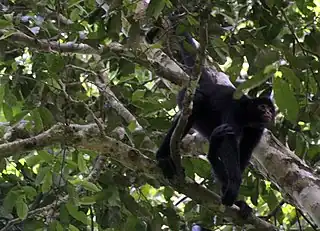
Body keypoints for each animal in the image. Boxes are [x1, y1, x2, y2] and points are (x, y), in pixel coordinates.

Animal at [155, 29, 276, 217]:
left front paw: (236, 197)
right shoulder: (234, 109)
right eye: (262, 107)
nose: (268, 113)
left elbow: (244, 153)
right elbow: (229, 139)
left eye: (270, 109)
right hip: (186, 96)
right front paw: (233, 184)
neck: (247, 115)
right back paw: (162, 157)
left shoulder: (257, 129)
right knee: (194, 108)